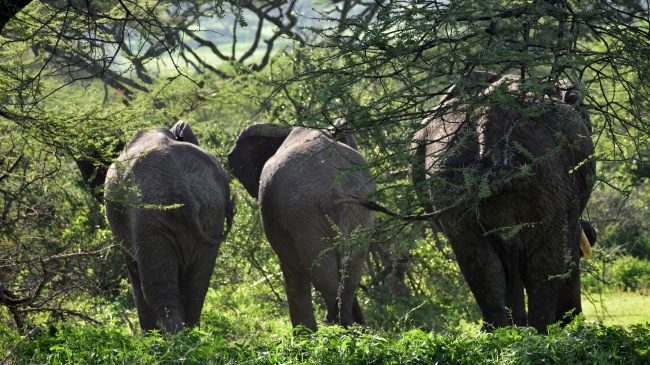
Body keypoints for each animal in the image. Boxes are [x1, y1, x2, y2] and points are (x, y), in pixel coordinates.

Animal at [102, 120, 232, 332]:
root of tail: (179, 184)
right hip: (211, 210)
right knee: (196, 286)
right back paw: (192, 335)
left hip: (148, 216)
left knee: (157, 288)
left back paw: (172, 338)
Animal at [412, 72, 596, 332]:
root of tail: (488, 120)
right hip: (549, 179)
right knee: (543, 268)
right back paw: (542, 333)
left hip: (451, 184)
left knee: (482, 267)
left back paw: (503, 333)